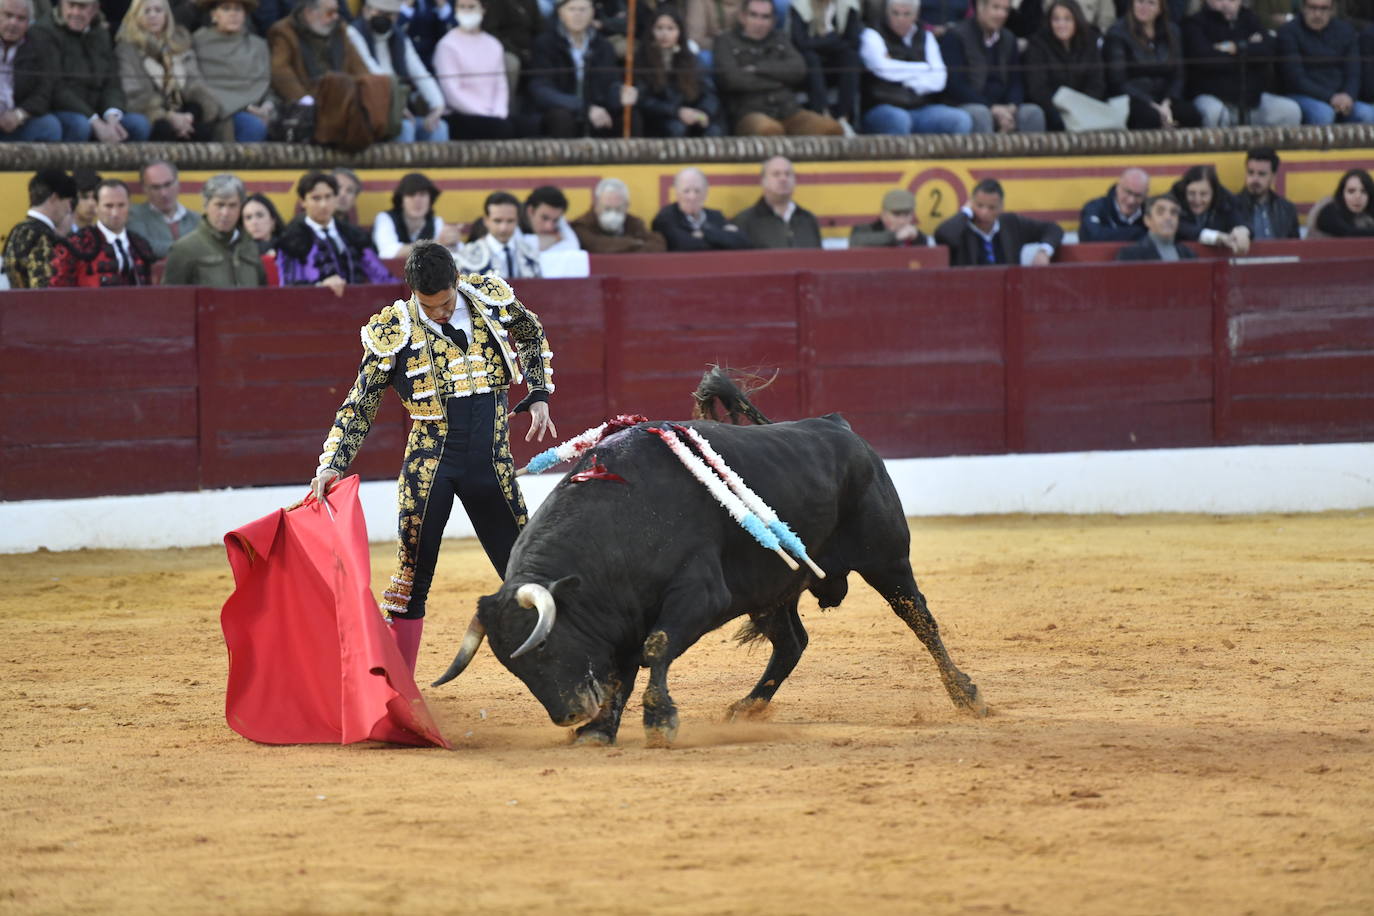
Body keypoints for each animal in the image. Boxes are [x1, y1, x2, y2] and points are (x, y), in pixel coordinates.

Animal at [434, 368, 983, 747]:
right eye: (513, 668)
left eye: (544, 646)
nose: (569, 715)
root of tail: (839, 426)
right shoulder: (623, 614)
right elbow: (621, 670)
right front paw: (600, 730)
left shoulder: (699, 596)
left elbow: (654, 649)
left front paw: (659, 722)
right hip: (771, 588)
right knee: (793, 643)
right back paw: (747, 708)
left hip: (886, 560)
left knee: (920, 618)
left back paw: (966, 695)